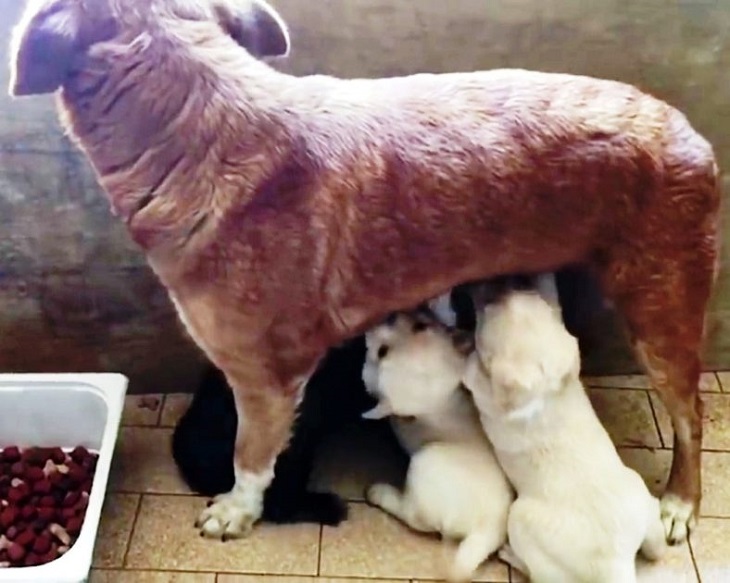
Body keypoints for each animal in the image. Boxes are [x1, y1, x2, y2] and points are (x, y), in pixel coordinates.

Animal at [360, 310, 510, 580]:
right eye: (420, 324)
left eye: (383, 352)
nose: (389, 315)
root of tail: (487, 531)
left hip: (424, 461)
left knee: (410, 515)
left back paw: (379, 493)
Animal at [464, 278, 664, 583]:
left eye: (487, 313)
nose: (482, 286)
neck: (549, 392)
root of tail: (615, 563)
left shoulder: (487, 393)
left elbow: (472, 375)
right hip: (643, 501)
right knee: (657, 548)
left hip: (519, 518)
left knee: (537, 572)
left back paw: (510, 555)